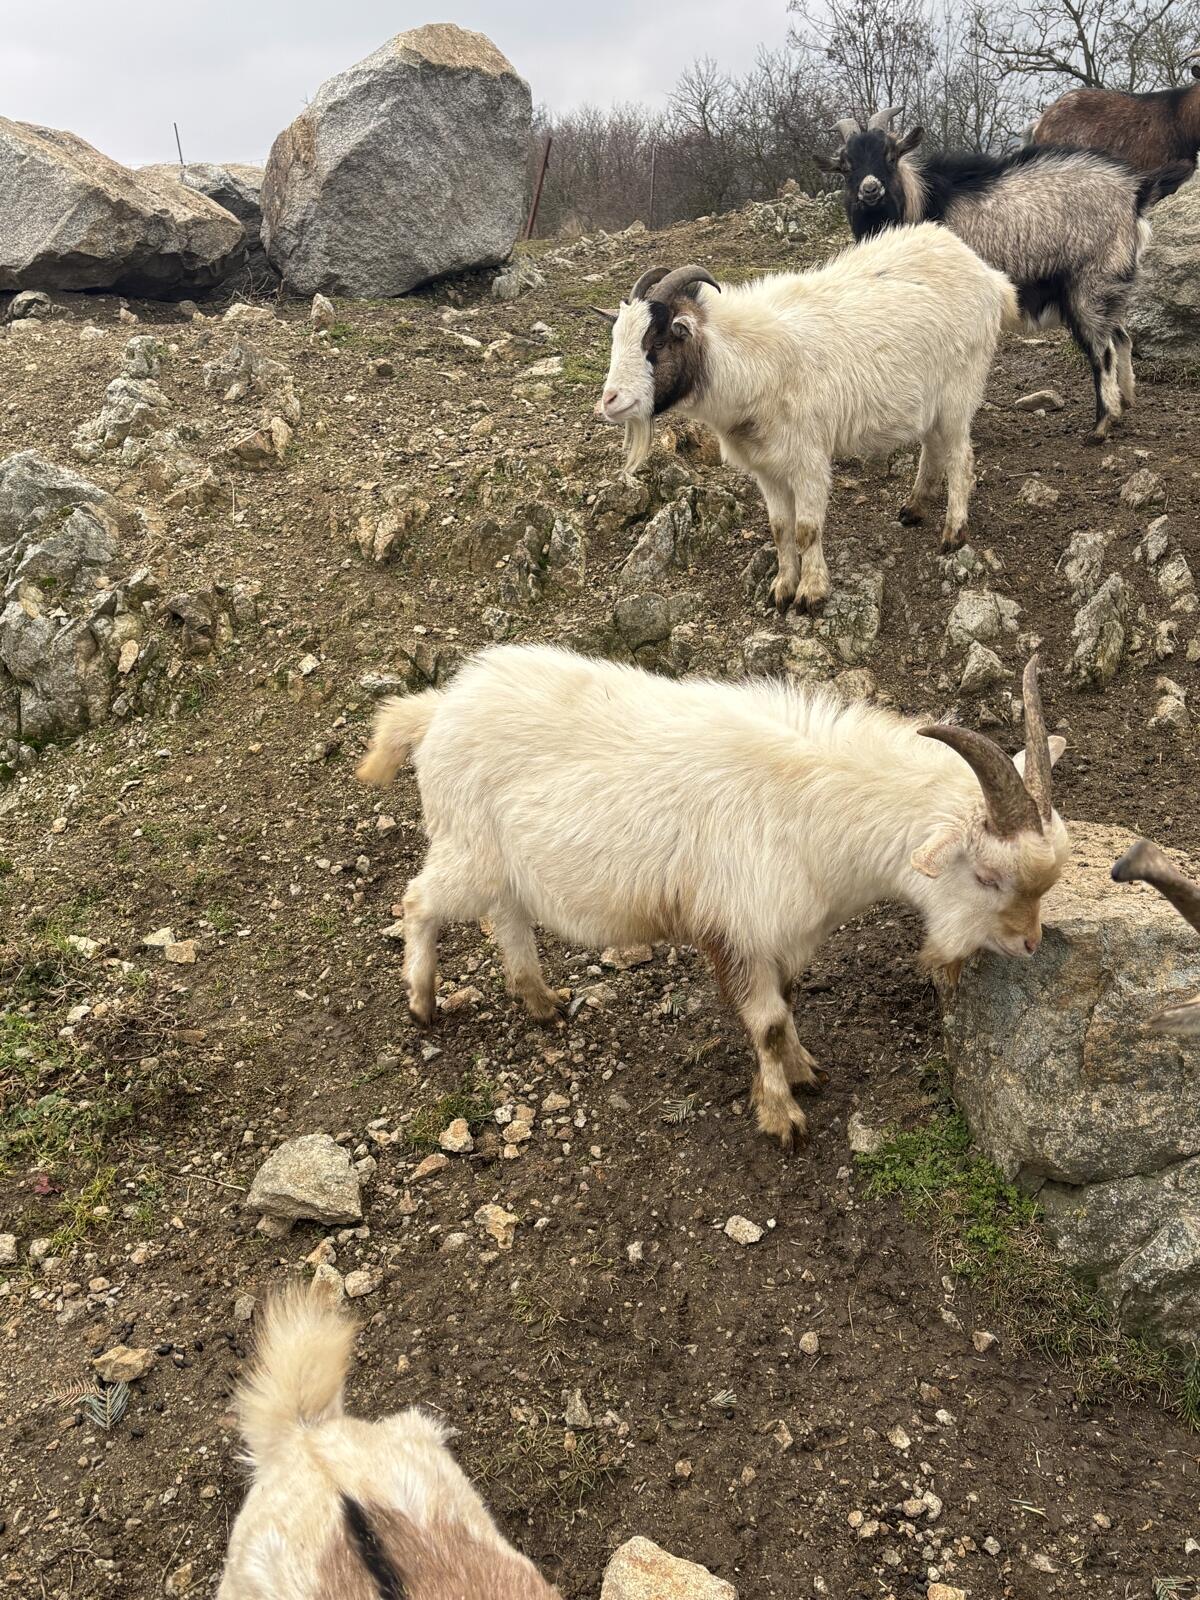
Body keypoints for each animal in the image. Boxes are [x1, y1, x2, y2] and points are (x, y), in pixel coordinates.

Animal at [358, 647, 1067, 1149]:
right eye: (987, 876)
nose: (1030, 942)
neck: (812, 807)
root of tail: (436, 711)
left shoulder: (779, 937)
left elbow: (787, 1007)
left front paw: (804, 1071)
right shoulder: (736, 929)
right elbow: (767, 1020)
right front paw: (782, 1117)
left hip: (503, 866)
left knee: (505, 918)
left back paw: (540, 1001)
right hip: (468, 849)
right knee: (419, 901)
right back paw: (423, 1002)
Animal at [592, 225, 1017, 614]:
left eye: (658, 342)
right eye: (617, 340)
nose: (610, 401)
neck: (753, 361)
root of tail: (988, 276)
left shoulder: (808, 458)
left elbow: (806, 529)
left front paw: (812, 594)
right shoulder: (766, 467)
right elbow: (781, 529)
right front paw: (782, 588)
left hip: (959, 391)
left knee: (960, 457)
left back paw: (953, 533)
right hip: (929, 400)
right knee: (932, 446)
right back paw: (913, 508)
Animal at [820, 108, 1194, 444]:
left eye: (890, 155)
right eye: (846, 166)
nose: (870, 190)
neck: (923, 202)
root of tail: (1137, 190)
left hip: (1090, 283)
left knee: (1102, 351)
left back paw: (1101, 426)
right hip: (1111, 282)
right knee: (1122, 338)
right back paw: (1125, 402)